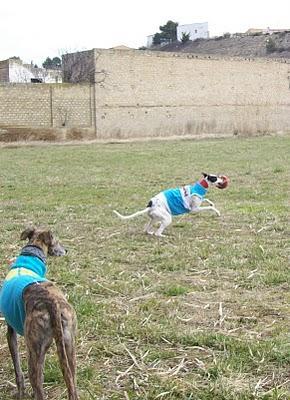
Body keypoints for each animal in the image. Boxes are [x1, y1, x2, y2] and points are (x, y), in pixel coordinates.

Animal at [0, 228, 78, 400]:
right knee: (72, 385)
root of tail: (52, 303)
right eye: (57, 241)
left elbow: (18, 372)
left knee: (38, 387)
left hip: (34, 353)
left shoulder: (10, 333)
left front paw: (20, 394)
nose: (66, 250)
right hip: (68, 349)